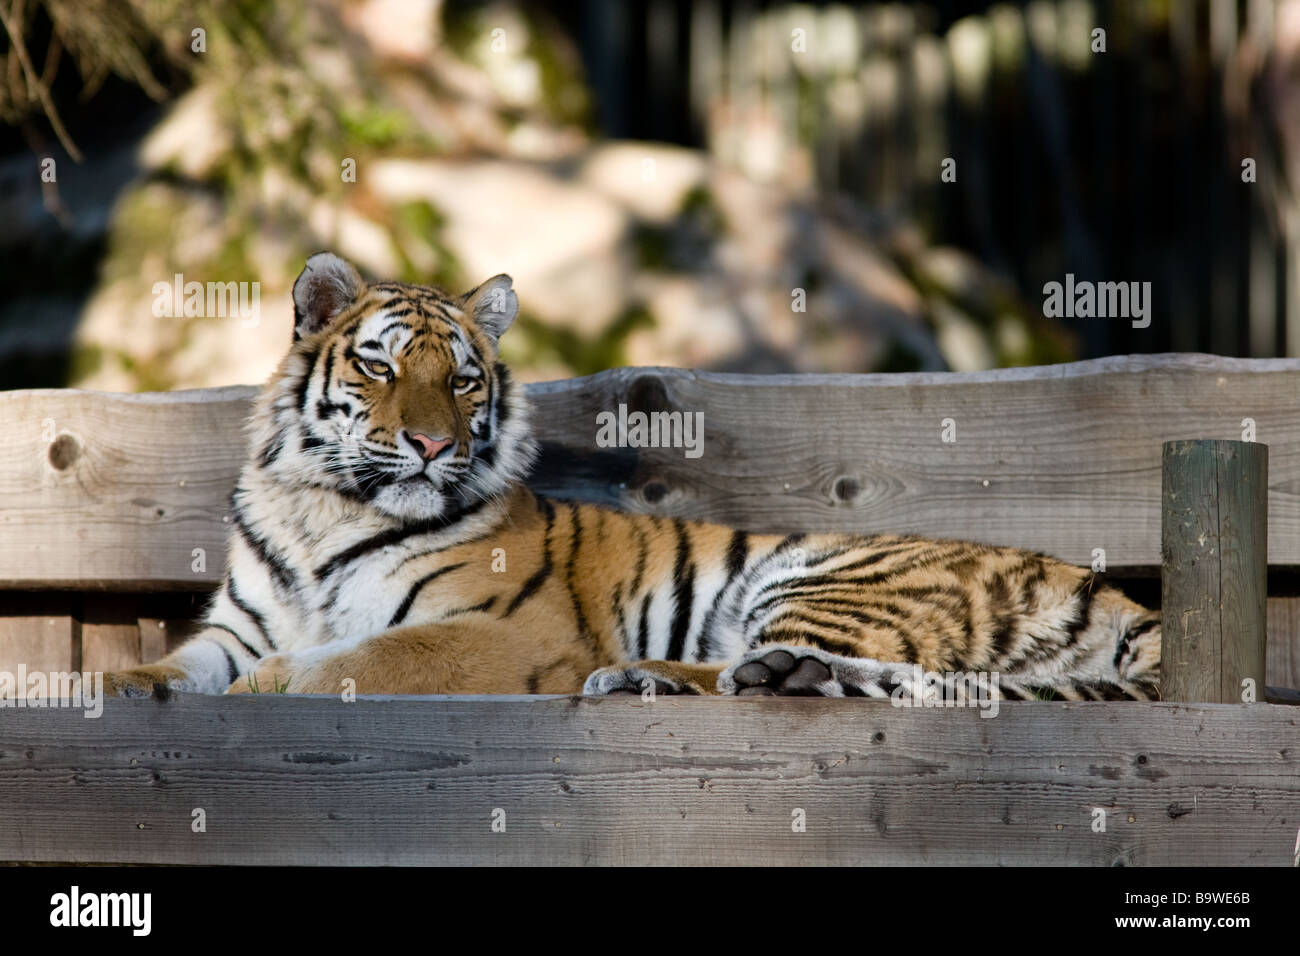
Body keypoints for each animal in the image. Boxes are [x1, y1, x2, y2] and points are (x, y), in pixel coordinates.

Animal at [98, 254, 1159, 702]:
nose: (434, 447)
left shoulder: (501, 633)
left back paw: (659, 675)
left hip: (824, 577)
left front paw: (273, 685)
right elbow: (178, 666)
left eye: (464, 379)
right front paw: (114, 686)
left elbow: (362, 658)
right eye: (382, 368)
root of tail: (1109, 589)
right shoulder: (238, 624)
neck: (323, 510)